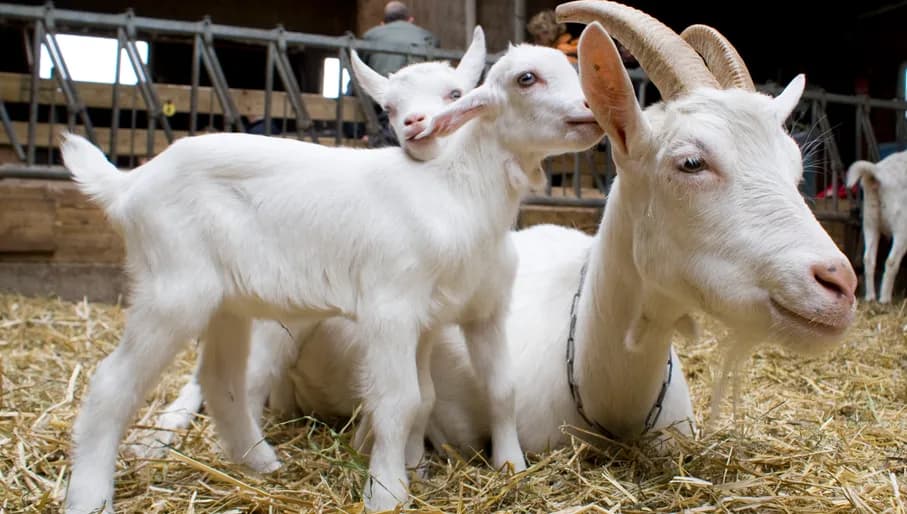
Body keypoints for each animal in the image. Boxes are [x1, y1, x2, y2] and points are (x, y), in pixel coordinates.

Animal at [62, 42, 603, 513]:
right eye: (526, 78)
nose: (592, 109)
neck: (455, 190)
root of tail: (129, 183)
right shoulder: (391, 308)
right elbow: (399, 400)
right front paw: (387, 492)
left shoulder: (462, 312)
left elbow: (483, 391)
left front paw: (502, 467)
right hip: (174, 286)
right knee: (112, 383)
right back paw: (89, 496)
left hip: (227, 300)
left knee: (223, 381)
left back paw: (261, 464)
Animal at [846, 150, 907, 303]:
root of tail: (877, 172)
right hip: (901, 225)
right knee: (891, 261)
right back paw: (885, 299)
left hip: (870, 220)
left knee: (868, 258)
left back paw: (870, 297)